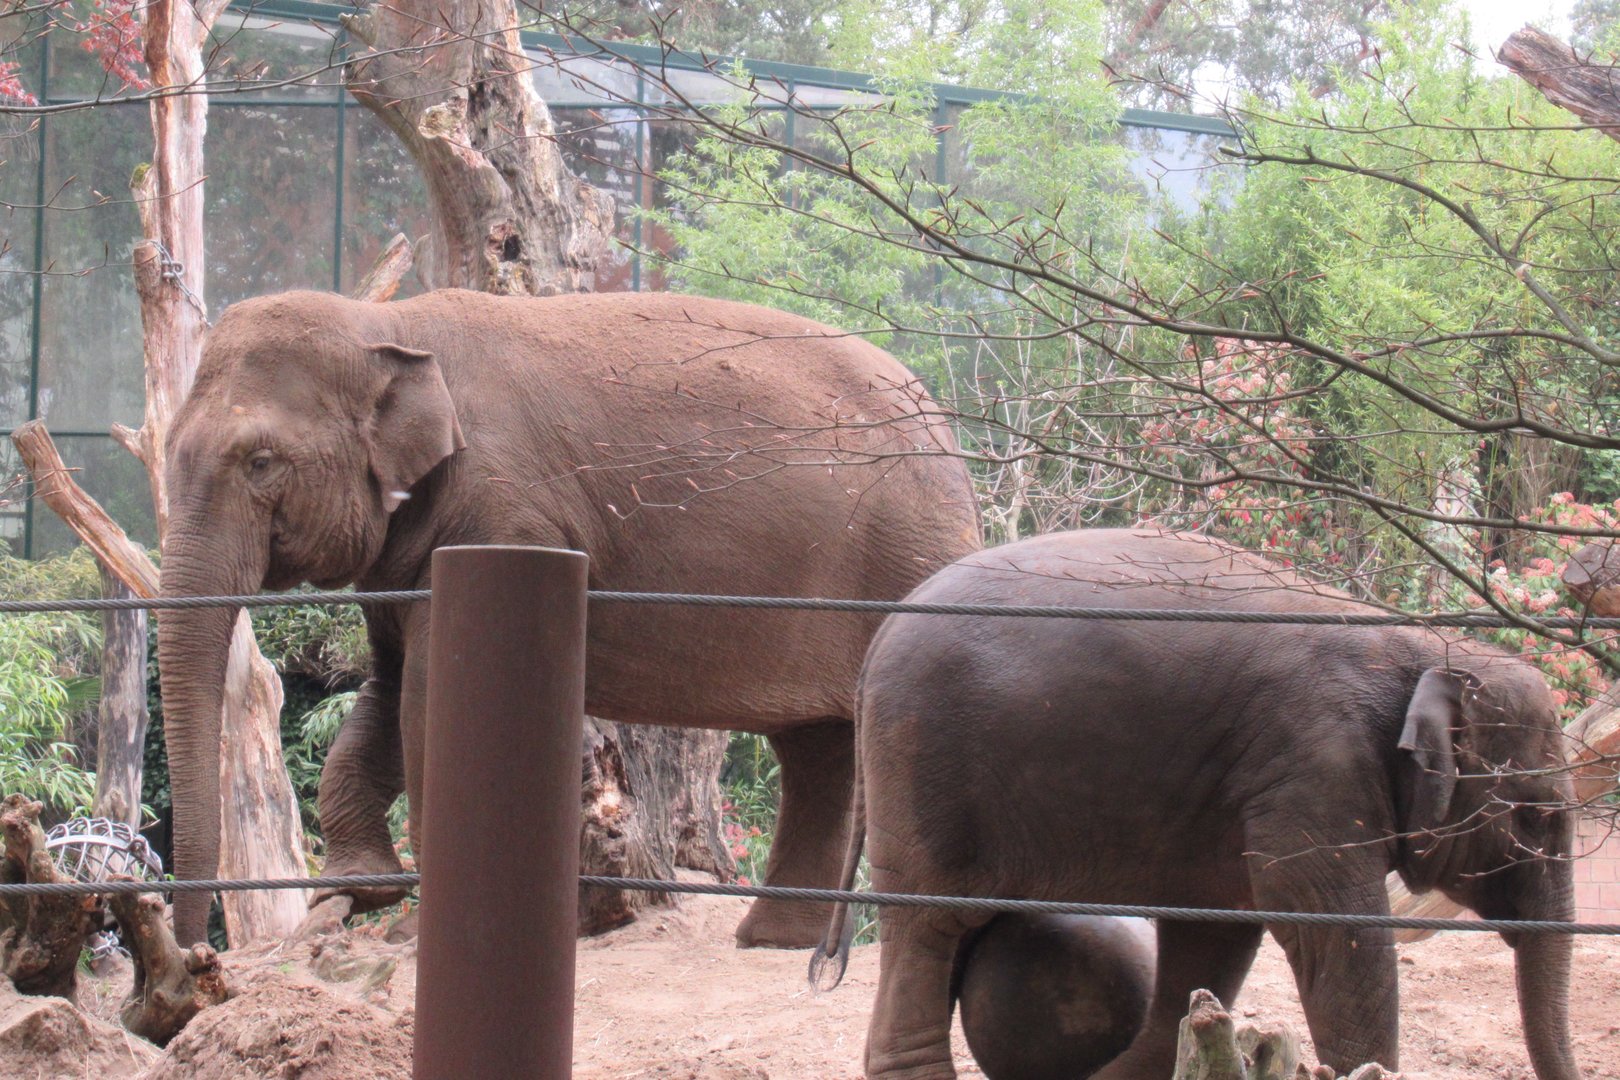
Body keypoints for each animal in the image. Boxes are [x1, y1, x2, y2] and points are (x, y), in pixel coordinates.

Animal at [156, 288, 981, 948]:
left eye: (260, 462)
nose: (196, 955)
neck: (390, 324)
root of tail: (948, 434)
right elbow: (386, 694)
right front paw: (359, 889)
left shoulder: (503, 519)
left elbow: (429, 695)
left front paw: (415, 928)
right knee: (817, 747)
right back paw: (772, 942)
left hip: (910, 561)